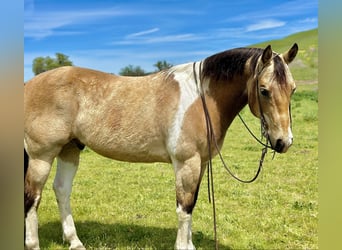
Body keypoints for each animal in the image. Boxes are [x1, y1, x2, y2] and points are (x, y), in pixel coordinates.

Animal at [24, 43, 298, 250]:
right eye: (264, 90)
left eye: (292, 89)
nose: (283, 142)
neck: (201, 97)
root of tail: (29, 85)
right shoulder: (187, 163)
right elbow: (184, 207)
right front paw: (183, 247)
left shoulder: (200, 163)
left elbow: (192, 203)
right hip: (41, 156)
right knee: (32, 198)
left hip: (69, 150)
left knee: (62, 190)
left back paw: (75, 241)